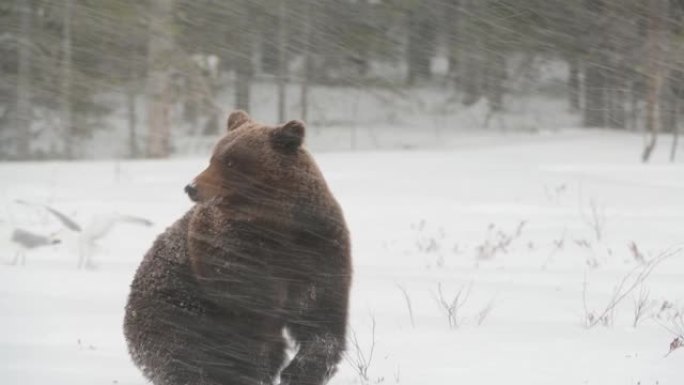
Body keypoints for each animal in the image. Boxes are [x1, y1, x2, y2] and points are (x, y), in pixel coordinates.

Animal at [123, 111, 356, 384]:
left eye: (231, 162)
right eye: (213, 158)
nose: (192, 187)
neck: (277, 225)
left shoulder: (320, 247)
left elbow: (320, 316)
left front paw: (299, 372)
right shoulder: (234, 253)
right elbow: (252, 320)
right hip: (173, 309)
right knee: (185, 357)